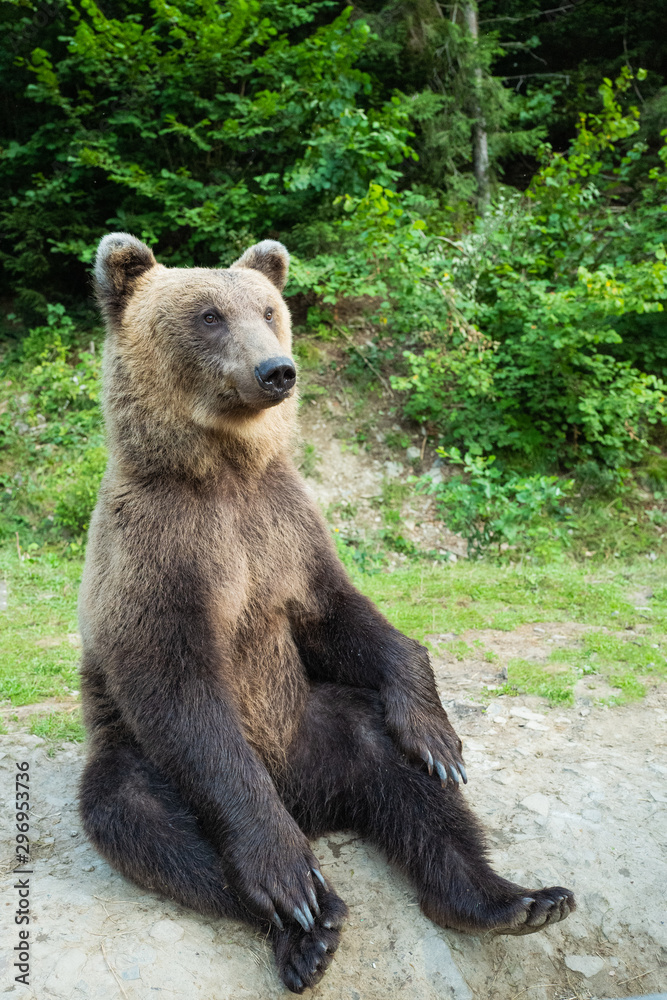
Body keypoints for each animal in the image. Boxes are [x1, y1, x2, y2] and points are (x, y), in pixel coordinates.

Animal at [78, 232, 576, 992]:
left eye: (268, 310)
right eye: (208, 315)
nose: (276, 370)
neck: (222, 471)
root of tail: (306, 804)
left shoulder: (283, 527)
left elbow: (342, 616)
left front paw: (437, 733)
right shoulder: (160, 551)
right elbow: (177, 687)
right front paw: (285, 878)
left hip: (317, 725)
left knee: (399, 772)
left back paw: (512, 899)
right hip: (147, 760)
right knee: (145, 823)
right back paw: (309, 919)